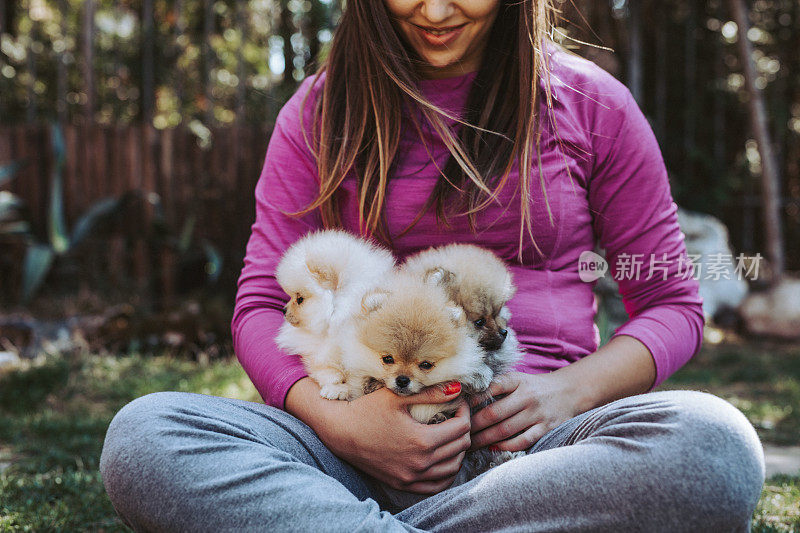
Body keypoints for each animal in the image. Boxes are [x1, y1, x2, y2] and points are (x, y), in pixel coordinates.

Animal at [276, 229, 396, 400]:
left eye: (299, 299)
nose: (284, 310)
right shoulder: (323, 352)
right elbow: (327, 370)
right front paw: (335, 385)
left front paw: (338, 389)